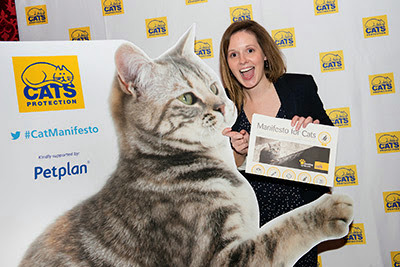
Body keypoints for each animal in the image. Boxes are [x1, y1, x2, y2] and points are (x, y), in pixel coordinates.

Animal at [19, 25, 354, 267]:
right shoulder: (219, 257)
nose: (223, 105)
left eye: (215, 86)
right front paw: (325, 211)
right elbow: (277, 233)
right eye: (187, 98)